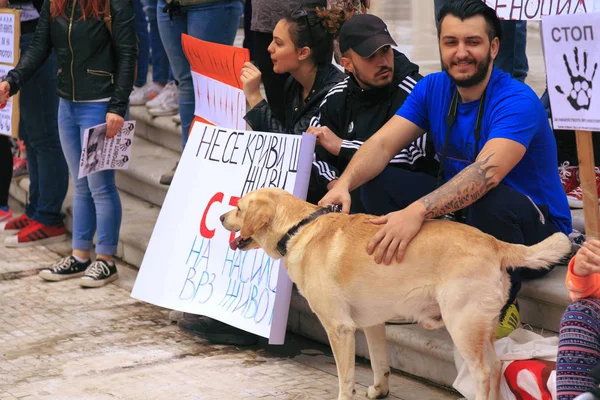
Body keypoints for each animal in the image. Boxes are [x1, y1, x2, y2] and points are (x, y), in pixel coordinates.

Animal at [220, 188, 572, 400]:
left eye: (238, 208)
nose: (221, 216)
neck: (298, 228)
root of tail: (494, 242)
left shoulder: (339, 328)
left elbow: (345, 378)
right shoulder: (372, 324)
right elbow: (380, 363)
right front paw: (379, 390)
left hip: (461, 326)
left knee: (484, 372)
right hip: (479, 328)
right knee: (497, 367)